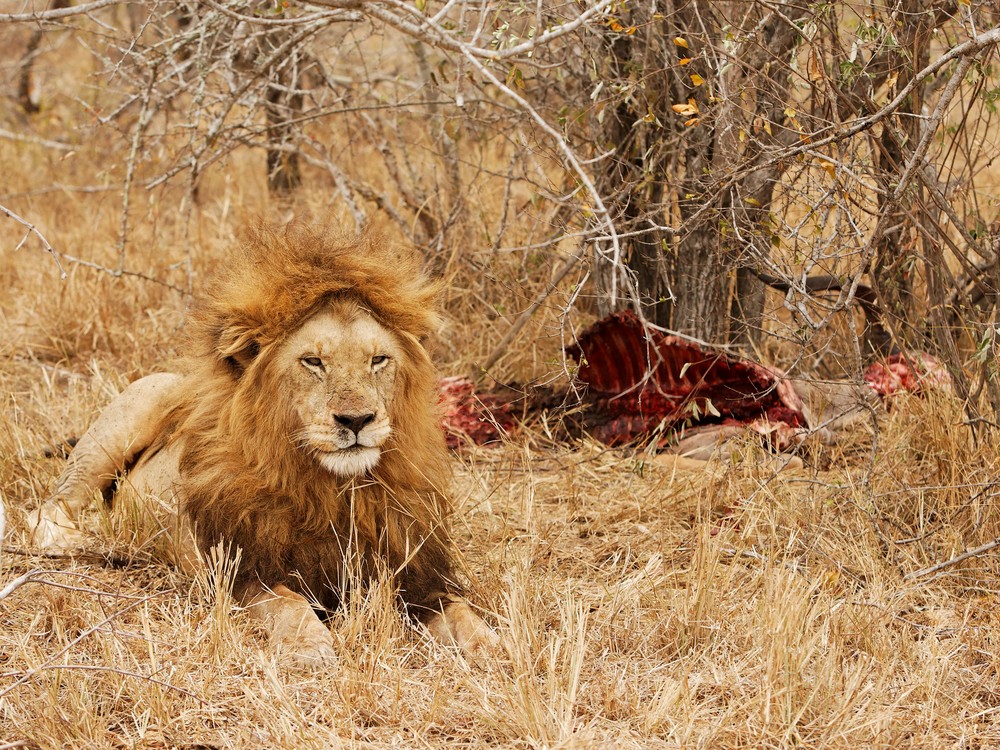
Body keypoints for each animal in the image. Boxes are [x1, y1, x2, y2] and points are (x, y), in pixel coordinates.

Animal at [29, 222, 498, 664]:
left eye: (378, 360)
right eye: (313, 361)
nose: (356, 420)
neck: (334, 490)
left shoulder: (415, 574)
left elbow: (460, 612)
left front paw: (493, 647)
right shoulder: (239, 571)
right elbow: (288, 604)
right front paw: (309, 646)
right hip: (136, 408)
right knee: (52, 504)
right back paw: (73, 543)